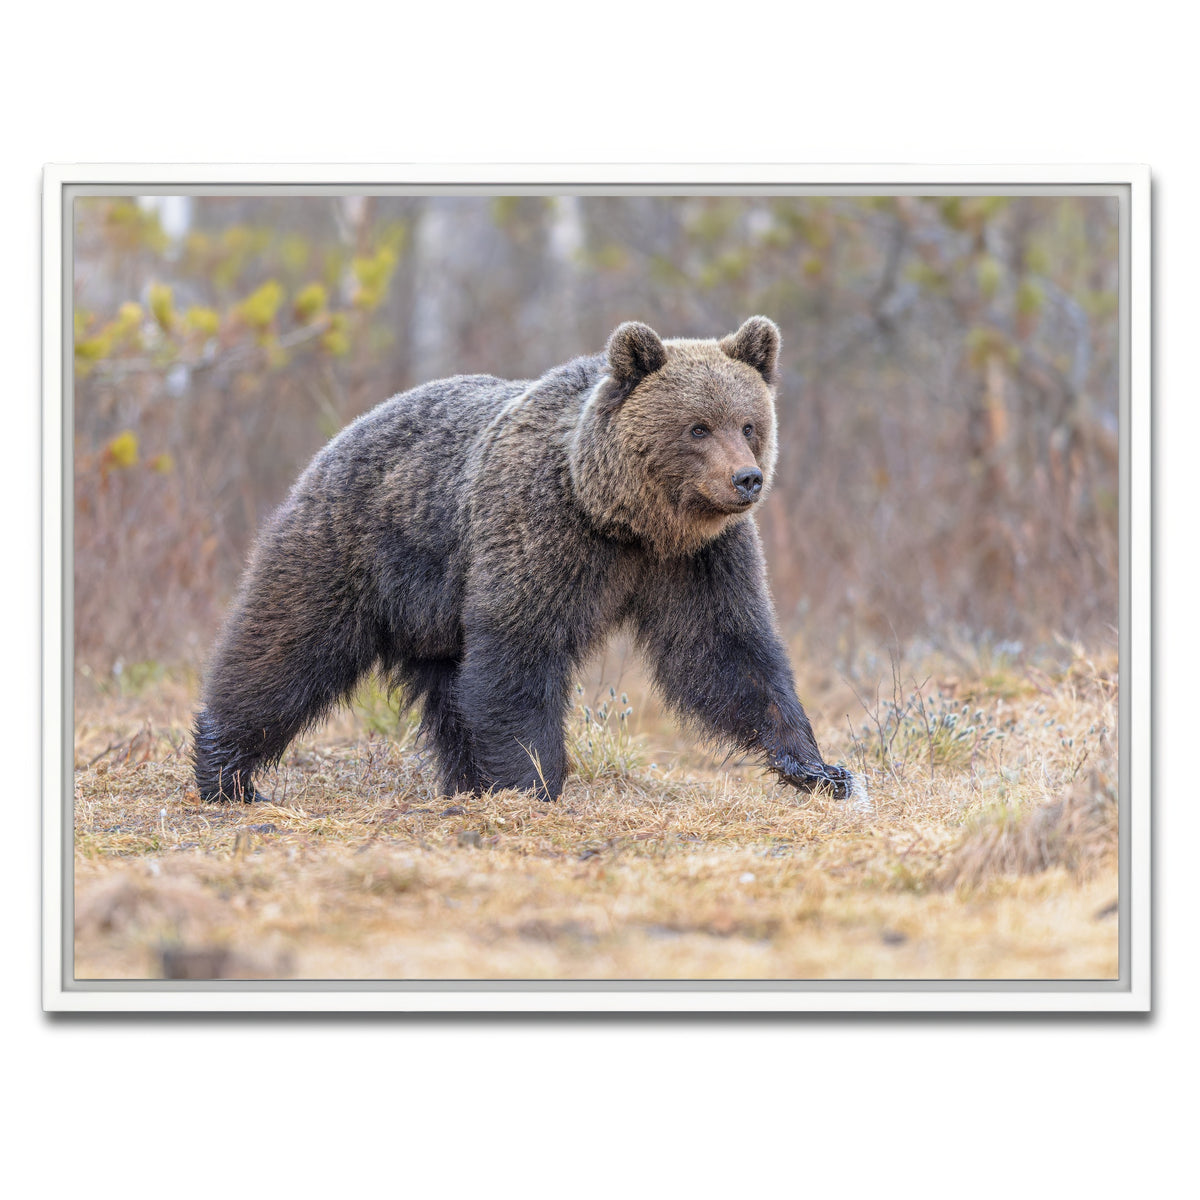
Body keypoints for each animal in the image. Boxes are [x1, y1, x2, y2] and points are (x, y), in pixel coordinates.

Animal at [192, 316, 857, 805]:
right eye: (698, 427)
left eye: (749, 424)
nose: (746, 479)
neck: (625, 519)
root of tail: (344, 433)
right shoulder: (542, 530)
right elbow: (520, 651)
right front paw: (534, 781)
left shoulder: (700, 558)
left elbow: (728, 650)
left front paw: (818, 767)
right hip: (355, 548)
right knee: (285, 648)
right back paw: (228, 773)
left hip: (435, 616)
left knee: (450, 693)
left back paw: (464, 783)